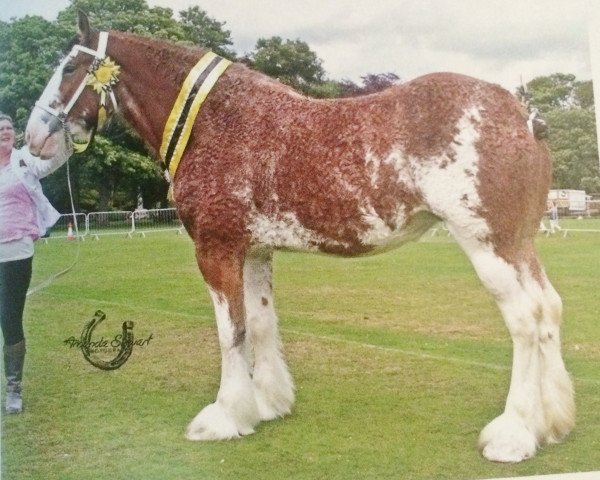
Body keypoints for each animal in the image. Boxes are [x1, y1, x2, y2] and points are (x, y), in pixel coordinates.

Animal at [25, 11, 576, 462]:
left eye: (69, 69)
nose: (33, 138)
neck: (216, 122)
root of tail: (523, 115)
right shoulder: (254, 250)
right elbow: (261, 324)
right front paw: (267, 404)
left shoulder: (216, 249)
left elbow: (231, 332)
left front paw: (225, 416)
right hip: (520, 245)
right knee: (549, 308)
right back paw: (552, 424)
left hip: (488, 244)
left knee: (524, 320)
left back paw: (512, 436)